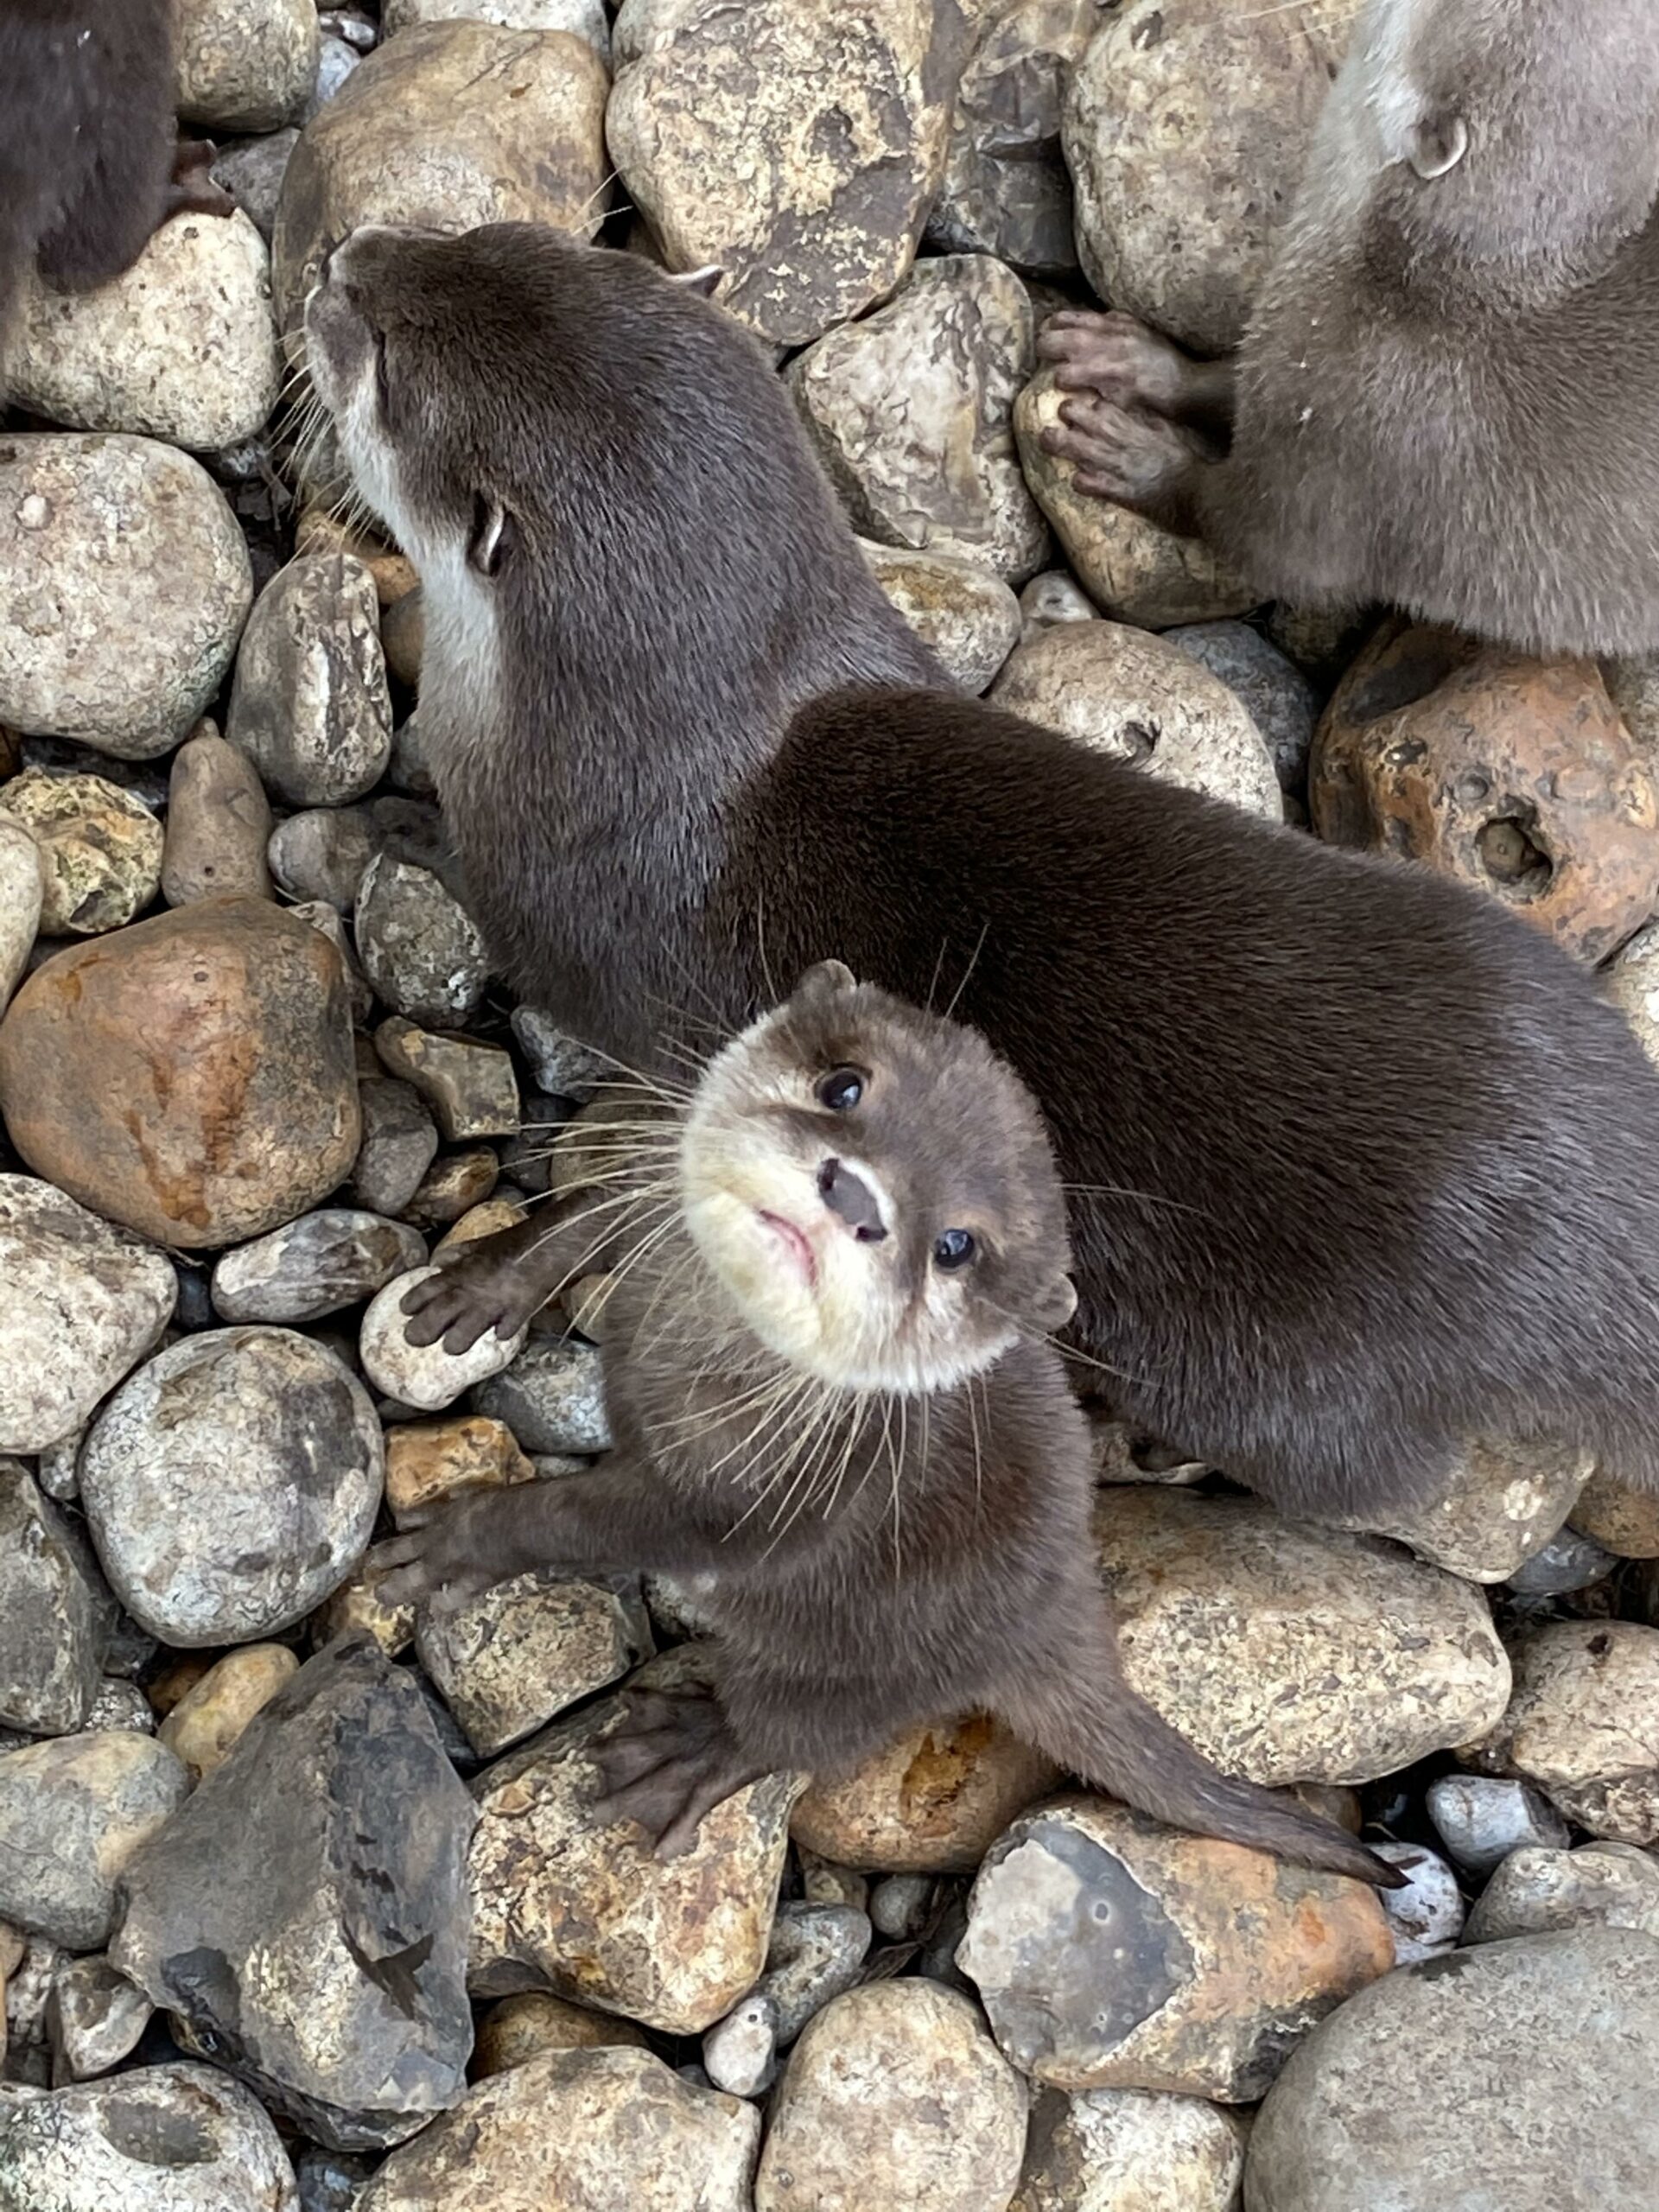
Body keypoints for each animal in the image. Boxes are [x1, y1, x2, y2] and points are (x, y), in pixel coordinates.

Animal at [302, 228, 1659, 1539]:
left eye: (387, 366)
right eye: (498, 238)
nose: (345, 258)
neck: (662, 764)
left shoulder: (632, 972)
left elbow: (627, 1163)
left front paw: (487, 1272)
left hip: (1274, 1379)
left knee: (1366, 1483)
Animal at [376, 960, 1407, 1893]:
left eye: (956, 1245)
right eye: (844, 1084)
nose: (856, 1196)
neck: (704, 1352)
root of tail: (1062, 1606)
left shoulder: (762, 1501)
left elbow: (593, 1522)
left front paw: (461, 1543)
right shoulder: (654, 1198)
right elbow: (583, 1216)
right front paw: (485, 1285)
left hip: (880, 1658)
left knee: (800, 1726)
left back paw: (689, 1748)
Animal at [1039, 0, 1659, 654]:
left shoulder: (1352, 445)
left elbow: (1253, 536)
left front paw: (1136, 459)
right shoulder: (1285, 358)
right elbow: (1227, 379)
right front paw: (1133, 359)